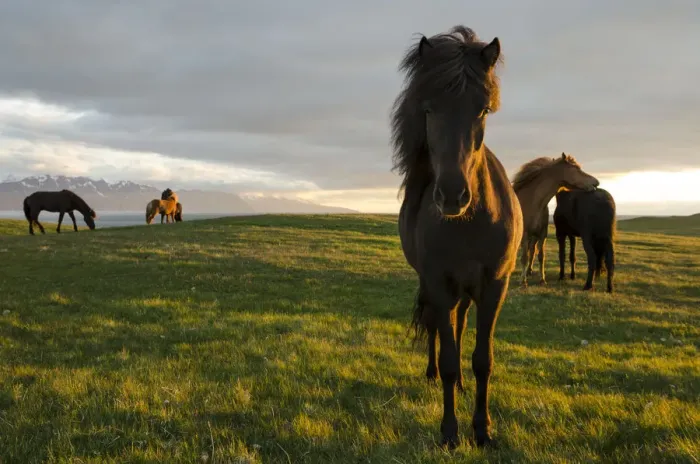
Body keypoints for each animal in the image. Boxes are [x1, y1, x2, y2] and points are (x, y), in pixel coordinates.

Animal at [391, 25, 523, 448]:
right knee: (438, 325)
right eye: (429, 109)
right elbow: (449, 356)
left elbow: (483, 359)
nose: (452, 195)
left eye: (482, 110)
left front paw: (482, 429)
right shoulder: (437, 281)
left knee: (460, 324)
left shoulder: (495, 284)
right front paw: (449, 432)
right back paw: (432, 374)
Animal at [511, 153, 599, 286]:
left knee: (532, 250)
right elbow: (524, 257)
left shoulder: (542, 234)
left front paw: (542, 279)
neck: (533, 203)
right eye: (576, 168)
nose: (596, 182)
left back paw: (529, 271)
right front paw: (523, 282)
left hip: (534, 236)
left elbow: (540, 256)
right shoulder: (525, 234)